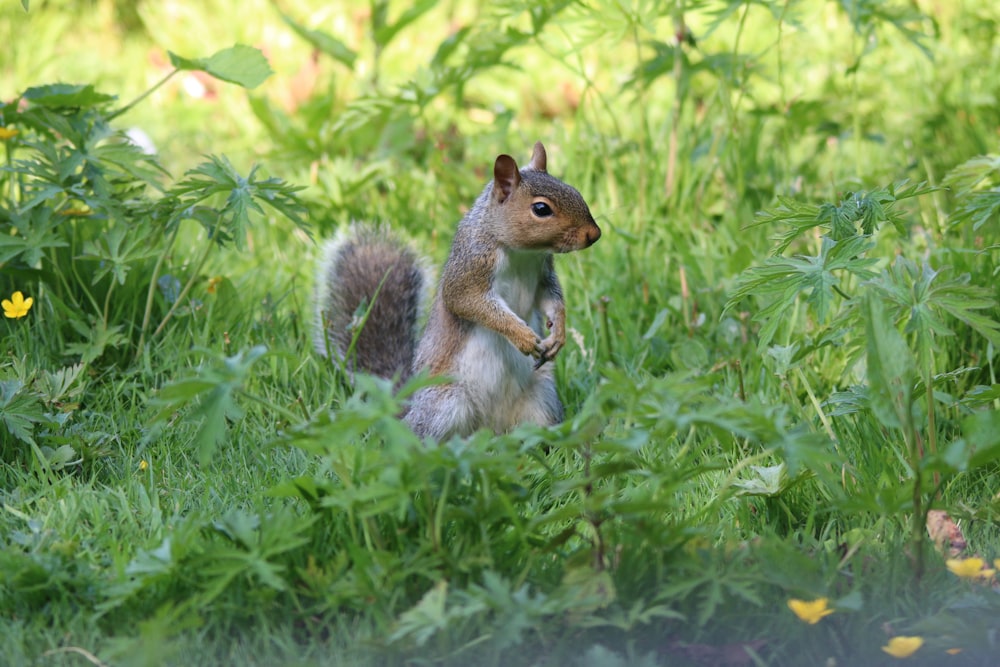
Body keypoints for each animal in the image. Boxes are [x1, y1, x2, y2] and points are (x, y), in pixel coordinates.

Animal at [312, 141, 600, 440]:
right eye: (541, 209)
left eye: (574, 190)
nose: (594, 234)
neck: (521, 252)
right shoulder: (469, 269)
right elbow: (469, 303)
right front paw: (522, 336)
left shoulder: (543, 272)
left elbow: (551, 300)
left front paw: (558, 333)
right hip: (445, 404)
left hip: (542, 399)